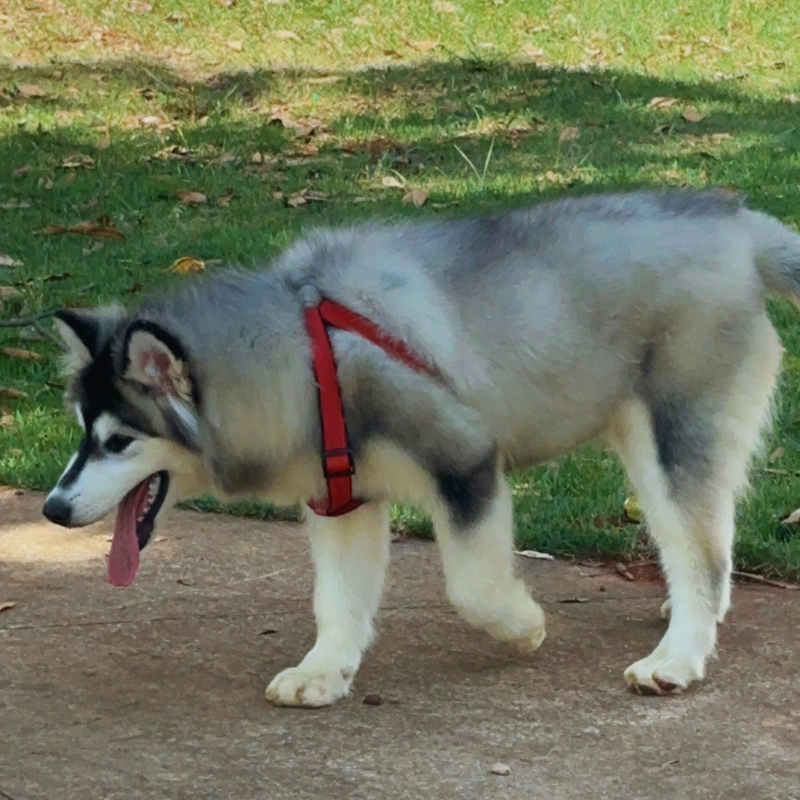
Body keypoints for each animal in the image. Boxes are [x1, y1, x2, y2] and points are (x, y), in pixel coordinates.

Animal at [42, 192, 800, 708]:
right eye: (80, 429)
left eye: (118, 441)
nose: (52, 508)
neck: (301, 349)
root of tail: (735, 223)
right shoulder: (342, 498)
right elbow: (338, 598)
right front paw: (325, 670)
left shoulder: (465, 458)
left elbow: (473, 588)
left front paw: (522, 626)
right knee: (712, 539)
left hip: (672, 432)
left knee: (703, 553)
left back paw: (677, 657)